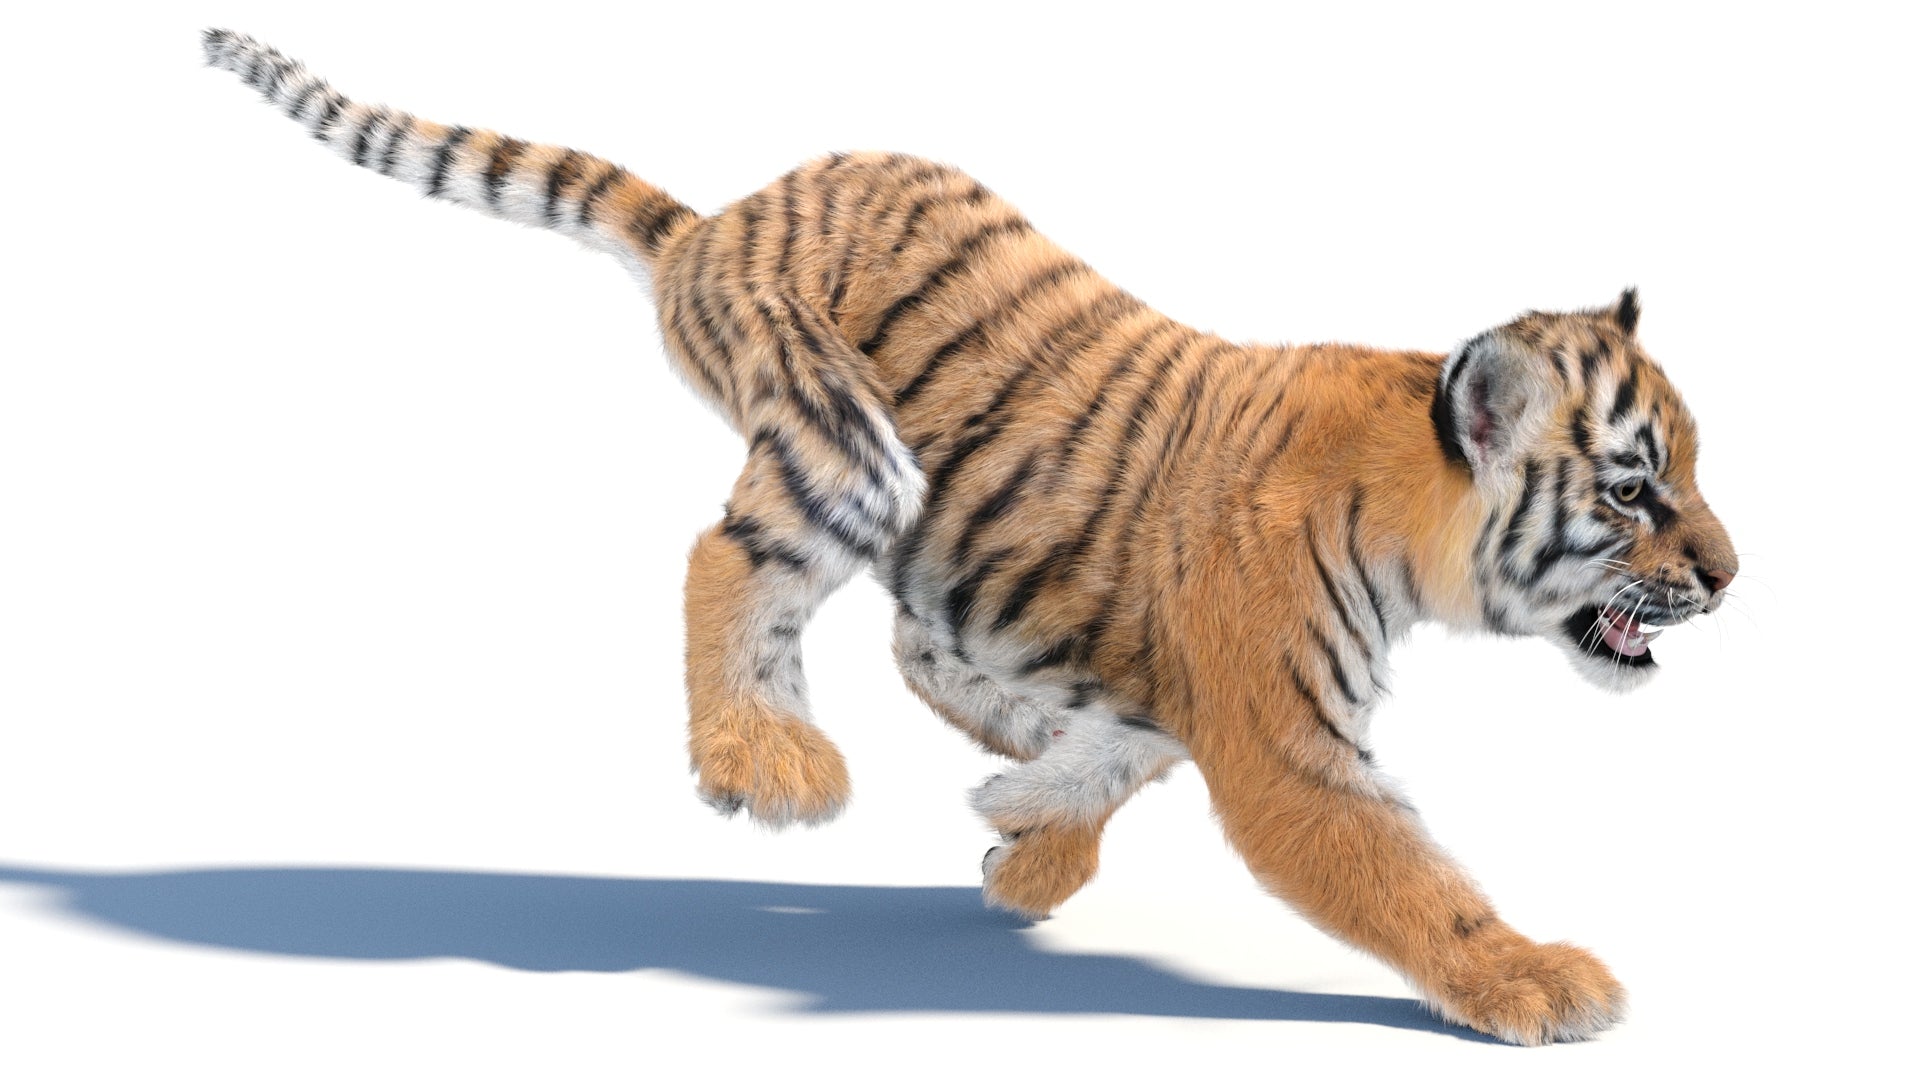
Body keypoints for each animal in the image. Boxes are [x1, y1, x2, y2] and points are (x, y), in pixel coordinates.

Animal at [204, 29, 1738, 1046]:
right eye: (1630, 491)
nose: (1729, 576)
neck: (1410, 515)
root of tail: (718, 220)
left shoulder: (1194, 689)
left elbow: (1123, 745)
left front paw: (1024, 830)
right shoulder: (1288, 746)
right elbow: (1413, 879)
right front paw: (1541, 979)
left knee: (912, 643)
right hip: (849, 443)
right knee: (727, 560)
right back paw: (763, 761)